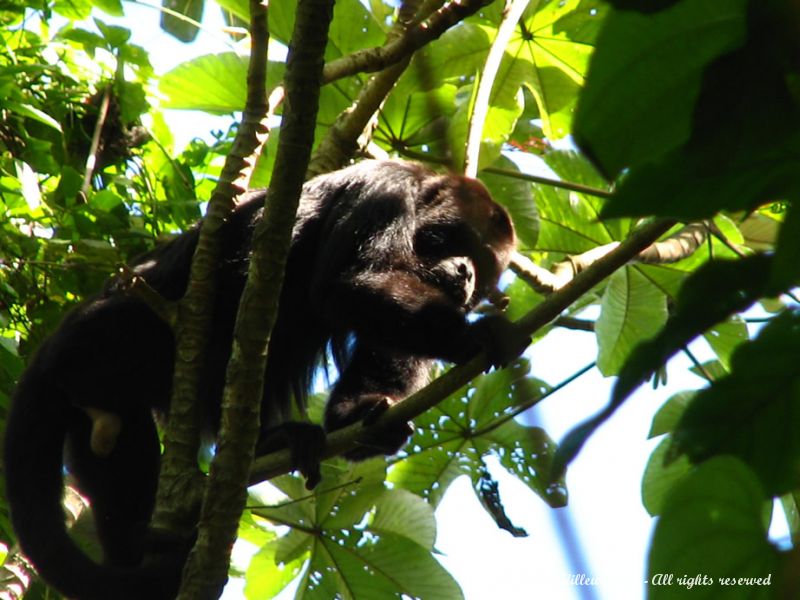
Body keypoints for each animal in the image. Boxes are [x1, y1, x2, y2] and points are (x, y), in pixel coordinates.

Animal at [3, 159, 520, 600]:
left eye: (487, 267)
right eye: (461, 241)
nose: (467, 274)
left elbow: (386, 346)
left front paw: (363, 415)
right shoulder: (386, 194)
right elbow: (352, 283)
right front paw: (474, 334)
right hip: (116, 327)